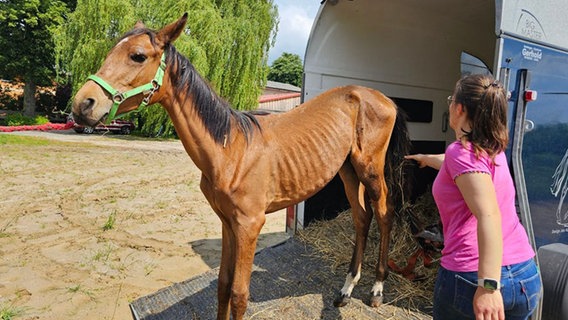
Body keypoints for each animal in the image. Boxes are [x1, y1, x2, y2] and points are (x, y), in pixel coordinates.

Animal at [71, 13, 410, 318]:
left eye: (138, 56)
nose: (83, 104)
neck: (230, 151)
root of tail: (382, 98)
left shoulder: (250, 225)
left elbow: (239, 294)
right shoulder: (227, 222)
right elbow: (222, 286)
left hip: (370, 169)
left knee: (384, 214)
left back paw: (377, 290)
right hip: (348, 170)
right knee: (361, 218)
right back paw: (345, 290)